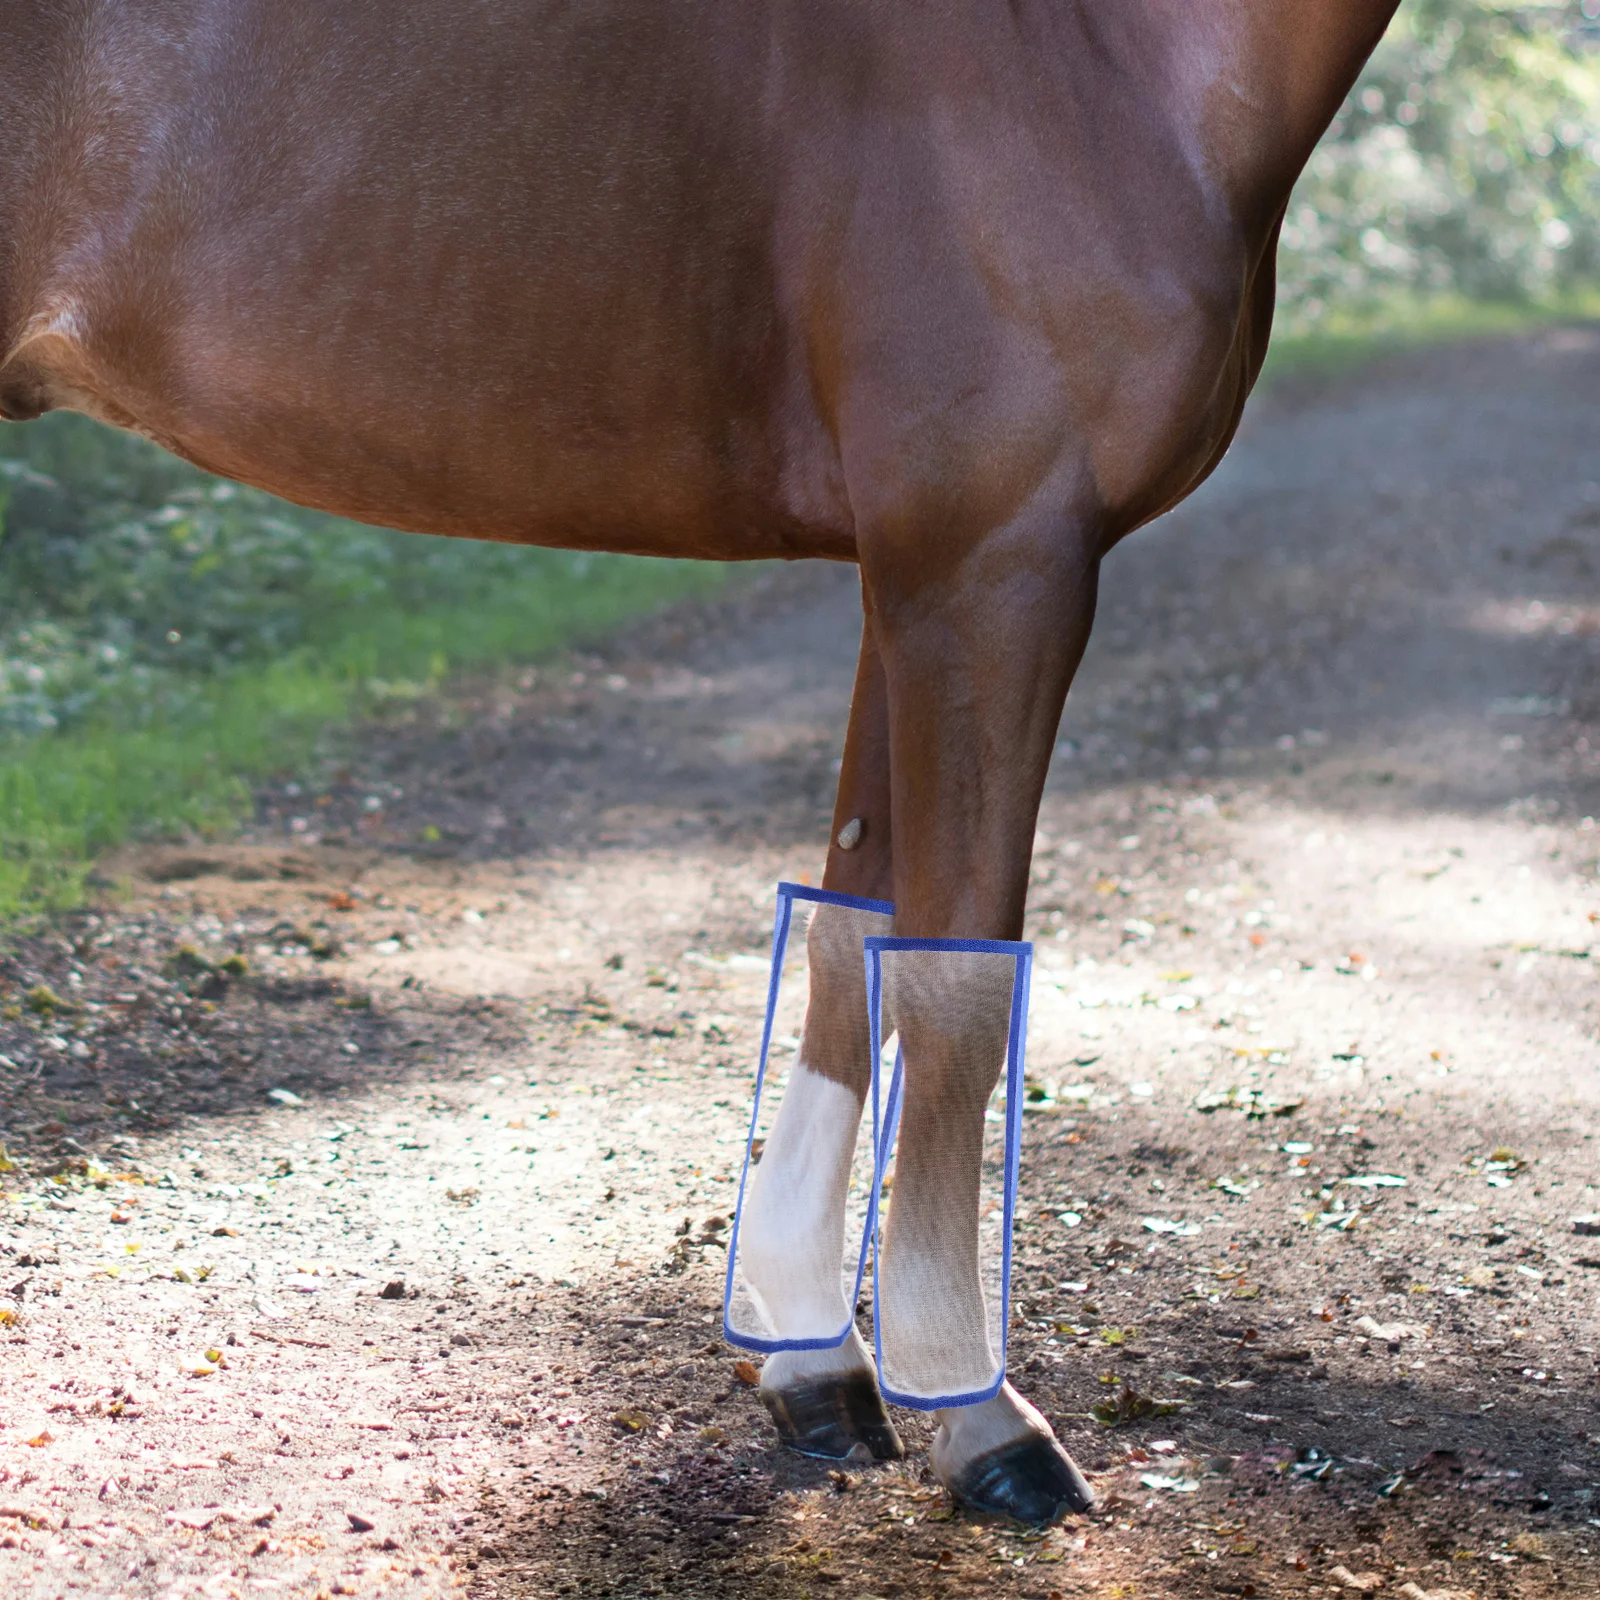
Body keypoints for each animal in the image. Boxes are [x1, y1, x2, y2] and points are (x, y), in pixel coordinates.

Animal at [0, 0, 1404, 1523]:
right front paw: (982, 1418)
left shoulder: (906, 582)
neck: (1103, 57)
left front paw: (813, 1362)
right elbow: (958, 985)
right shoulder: (997, 564)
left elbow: (852, 938)